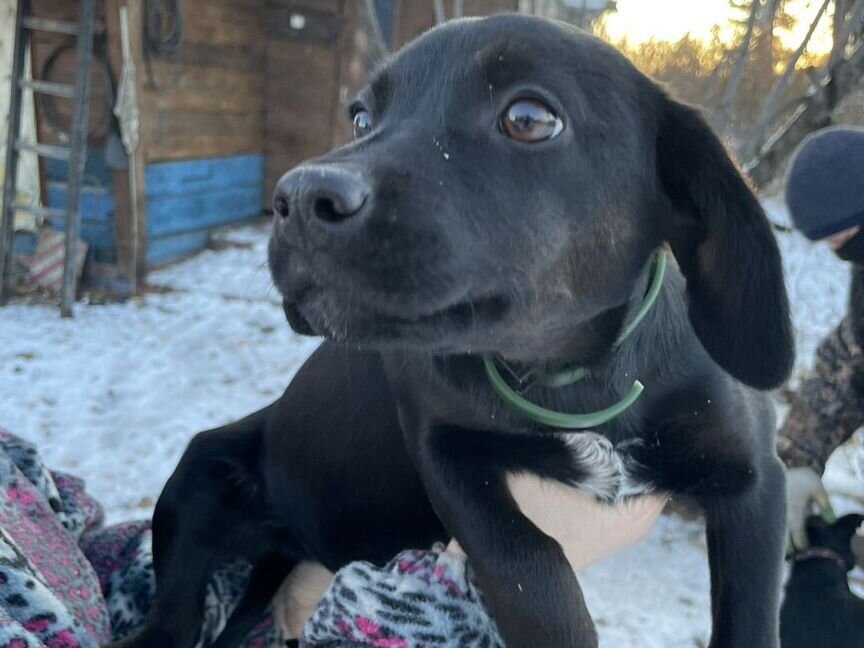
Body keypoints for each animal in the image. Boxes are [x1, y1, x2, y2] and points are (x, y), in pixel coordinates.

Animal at [111, 13, 792, 648]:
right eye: (361, 119)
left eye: (528, 118)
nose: (297, 200)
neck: (570, 380)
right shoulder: (442, 449)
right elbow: (530, 564)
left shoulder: (758, 481)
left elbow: (752, 619)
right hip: (195, 477)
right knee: (171, 623)